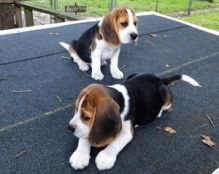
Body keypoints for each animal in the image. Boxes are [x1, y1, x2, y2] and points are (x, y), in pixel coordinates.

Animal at [67, 72, 201, 171]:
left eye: (86, 116)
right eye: (76, 109)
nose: (70, 127)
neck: (119, 97)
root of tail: (159, 79)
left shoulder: (127, 133)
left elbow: (114, 143)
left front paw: (105, 157)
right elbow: (85, 137)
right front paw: (80, 156)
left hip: (166, 96)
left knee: (165, 106)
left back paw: (158, 113)